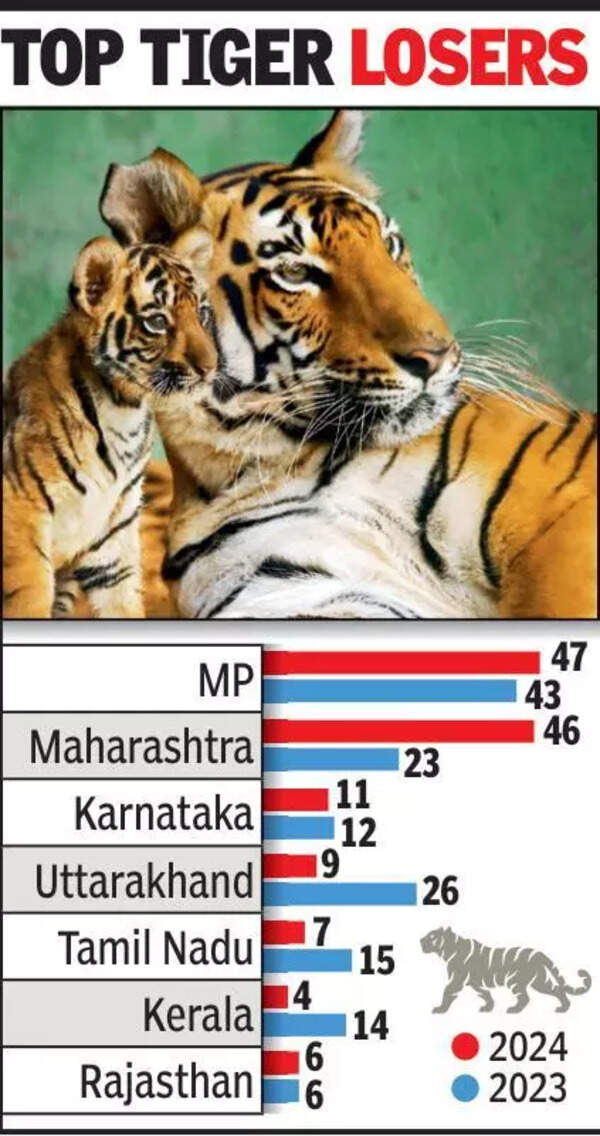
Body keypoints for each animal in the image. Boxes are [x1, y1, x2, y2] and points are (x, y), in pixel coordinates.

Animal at [3, 230, 215, 618]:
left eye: (202, 313)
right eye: (157, 321)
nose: (210, 367)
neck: (122, 409)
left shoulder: (113, 538)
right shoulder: (20, 516)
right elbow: (29, 598)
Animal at [421, 926, 592, 1014]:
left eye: (432, 936)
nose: (420, 941)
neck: (448, 950)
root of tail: (539, 954)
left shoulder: (457, 980)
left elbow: (447, 992)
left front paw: (440, 1009)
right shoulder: (474, 982)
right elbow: (485, 993)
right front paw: (488, 1007)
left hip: (516, 981)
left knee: (525, 998)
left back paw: (514, 1010)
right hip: (539, 981)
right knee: (557, 989)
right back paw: (564, 1008)